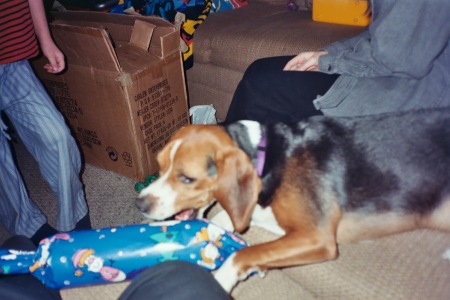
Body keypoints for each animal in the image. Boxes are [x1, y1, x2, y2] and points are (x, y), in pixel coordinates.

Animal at [135, 108, 450, 292]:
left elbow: (244, 253)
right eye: (160, 165)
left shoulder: (316, 237)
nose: (140, 204)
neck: (268, 157)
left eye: (187, 178)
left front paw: (221, 277)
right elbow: (227, 220)